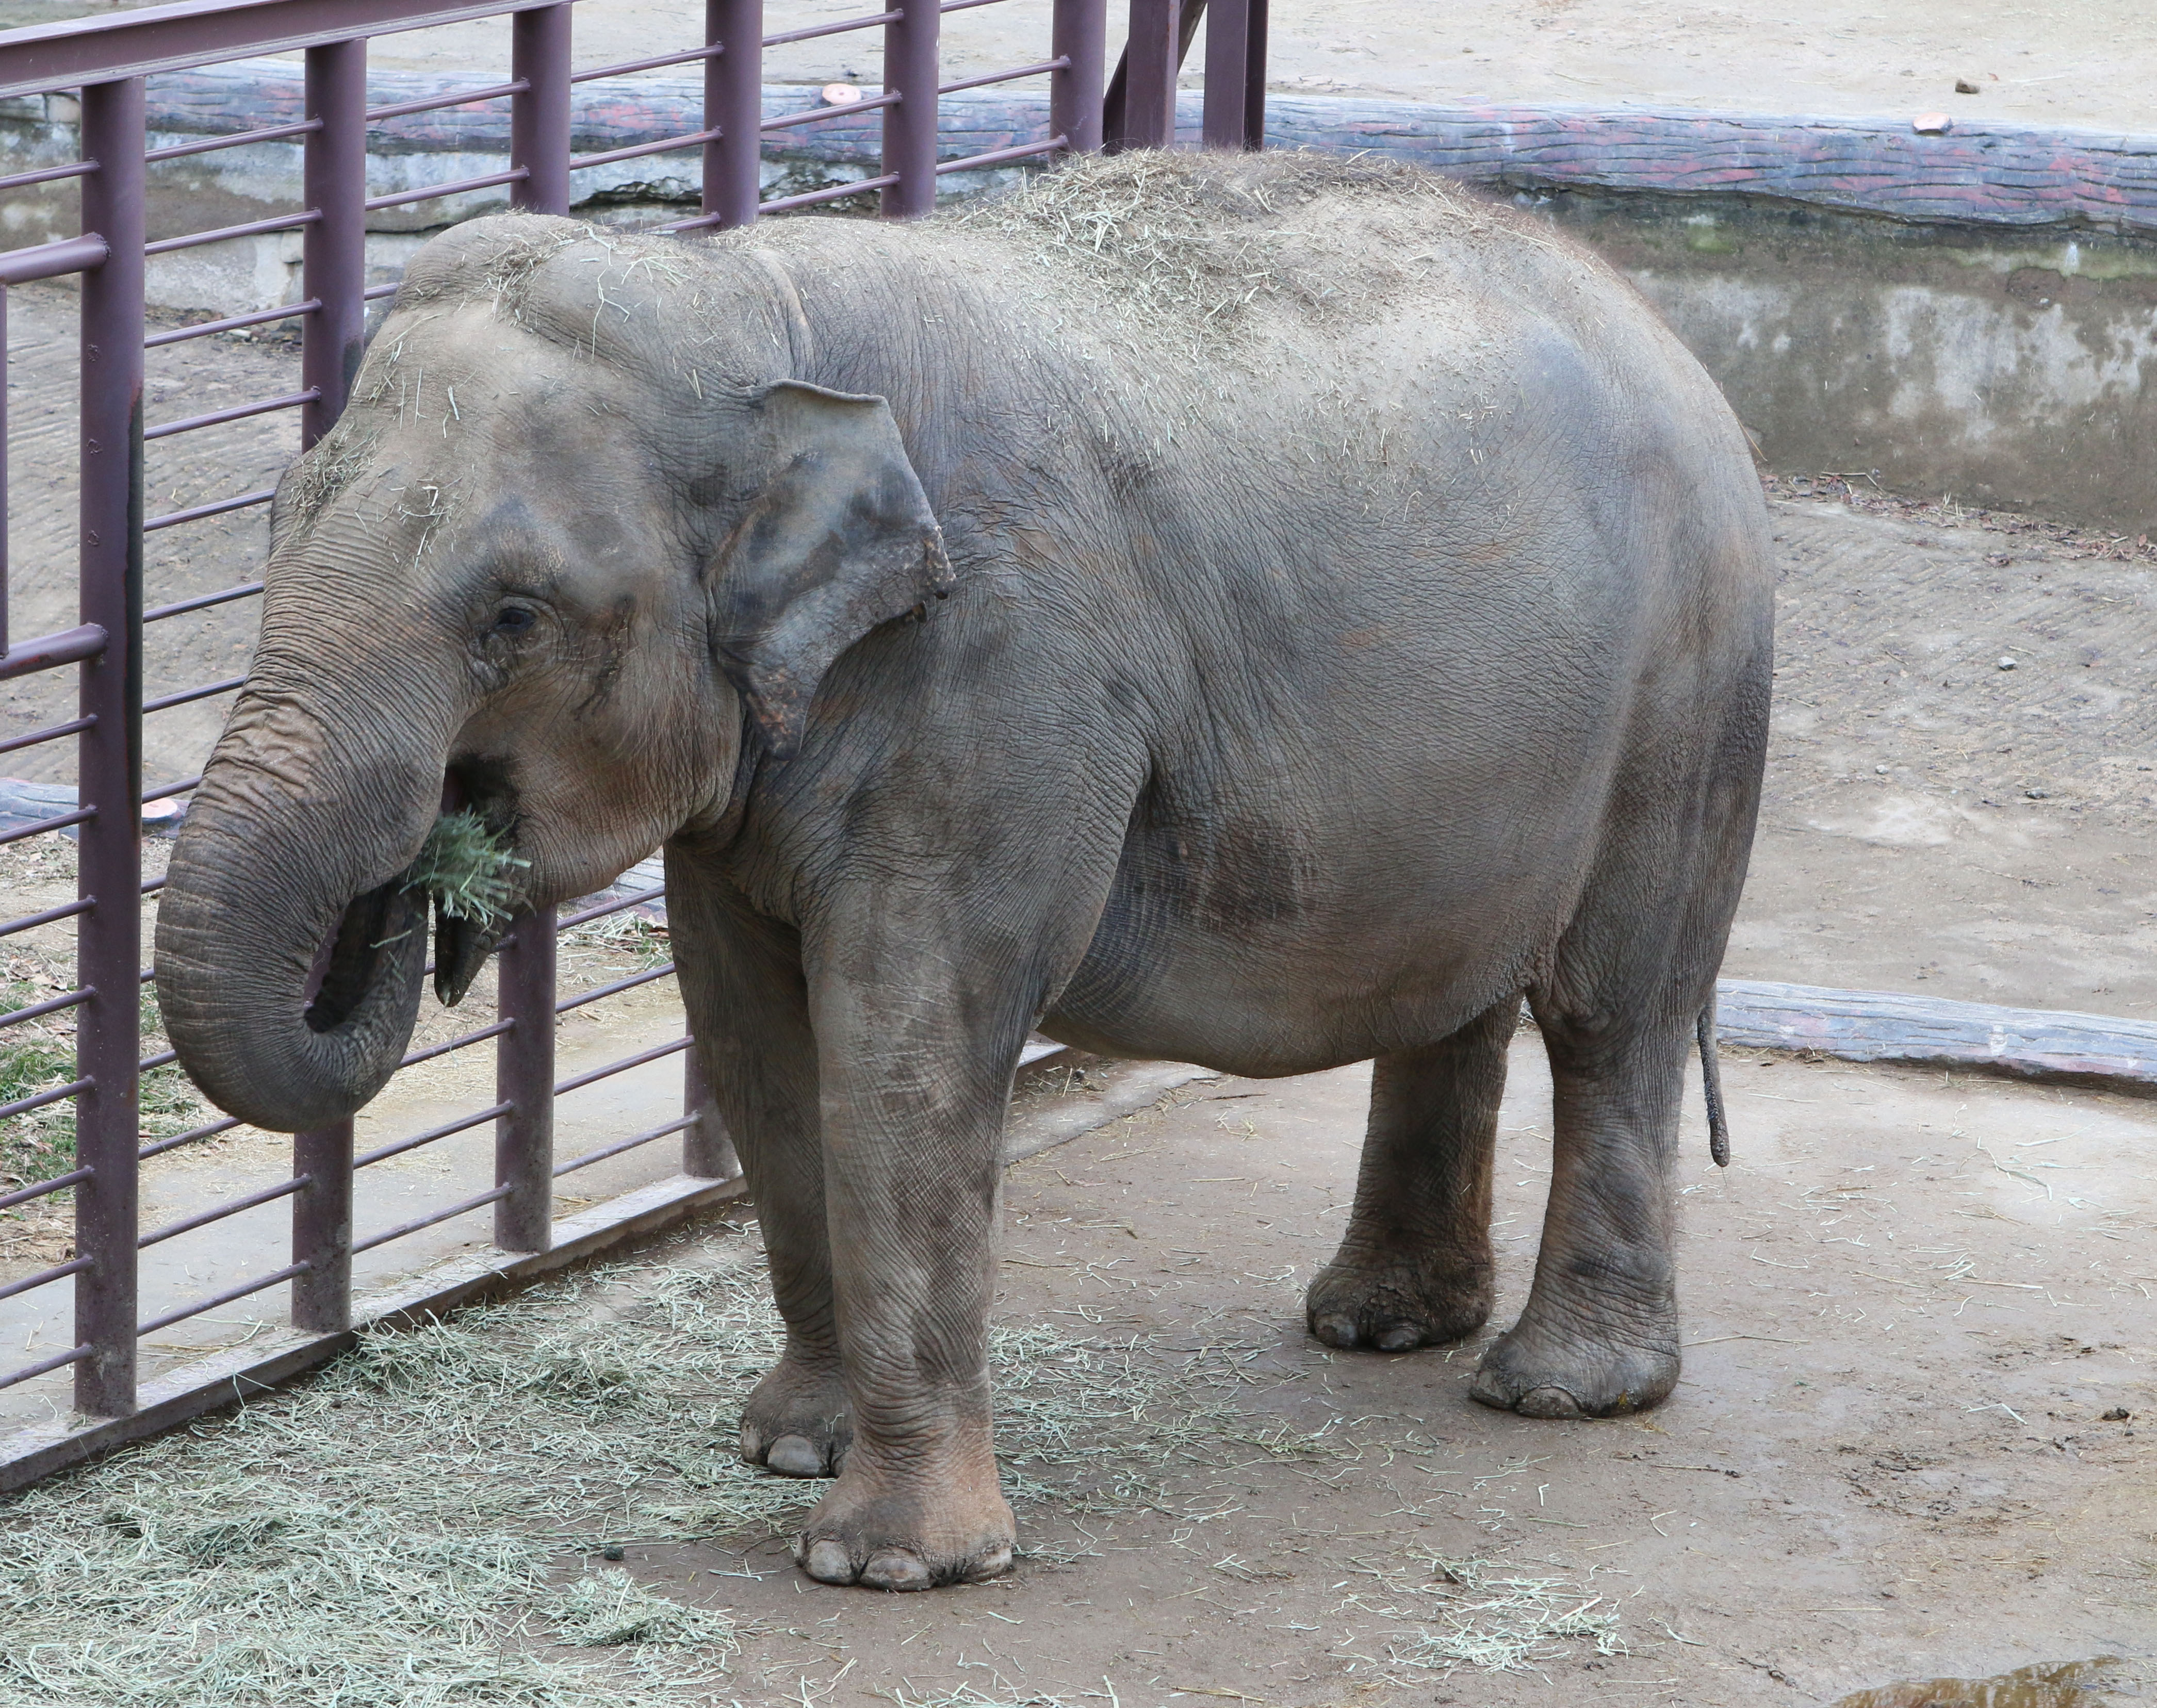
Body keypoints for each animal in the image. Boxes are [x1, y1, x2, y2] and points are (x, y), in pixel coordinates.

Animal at [152, 150, 1769, 1604]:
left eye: (515, 618)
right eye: (278, 519)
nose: (430, 889)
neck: (749, 298)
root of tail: (1662, 330)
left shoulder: (1001, 679)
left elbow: (902, 1047)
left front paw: (887, 1565)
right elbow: (752, 1035)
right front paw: (786, 1449)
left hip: (1687, 687)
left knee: (1612, 1013)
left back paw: (1560, 1390)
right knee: (1459, 995)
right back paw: (1378, 1329)